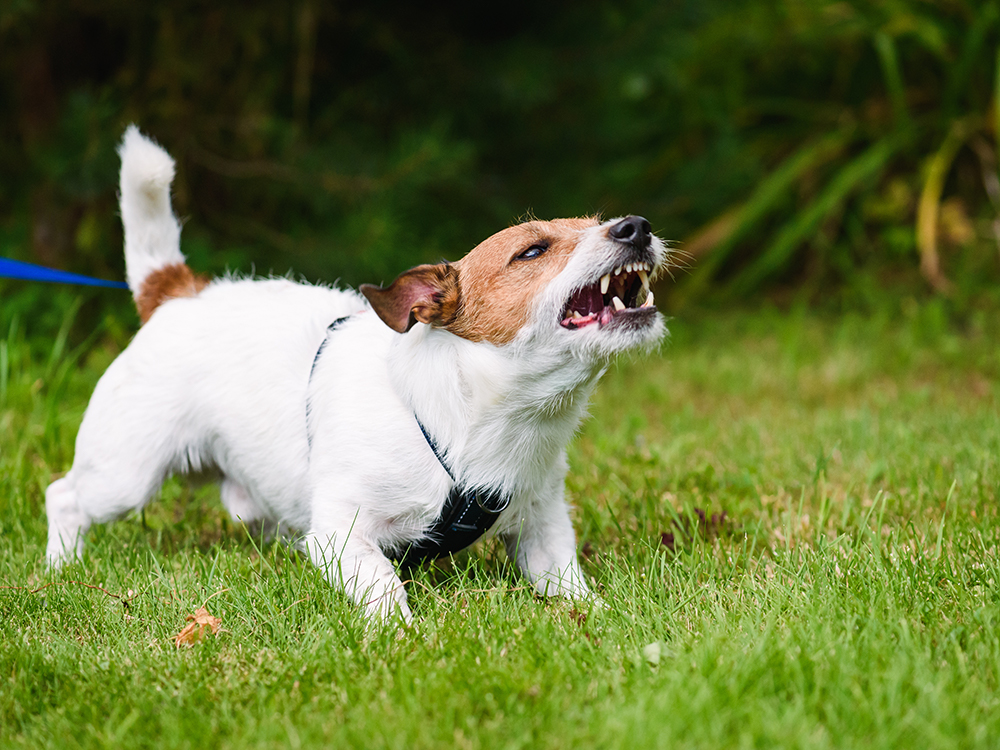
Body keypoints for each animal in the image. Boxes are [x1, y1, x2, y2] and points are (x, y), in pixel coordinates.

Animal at [48, 128, 672, 624]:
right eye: (533, 251)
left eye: (598, 222)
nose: (637, 226)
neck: (476, 418)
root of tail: (177, 292)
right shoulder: (341, 533)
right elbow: (383, 585)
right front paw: (403, 636)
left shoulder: (543, 524)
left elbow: (566, 580)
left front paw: (598, 617)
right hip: (124, 474)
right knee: (65, 496)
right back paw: (60, 567)